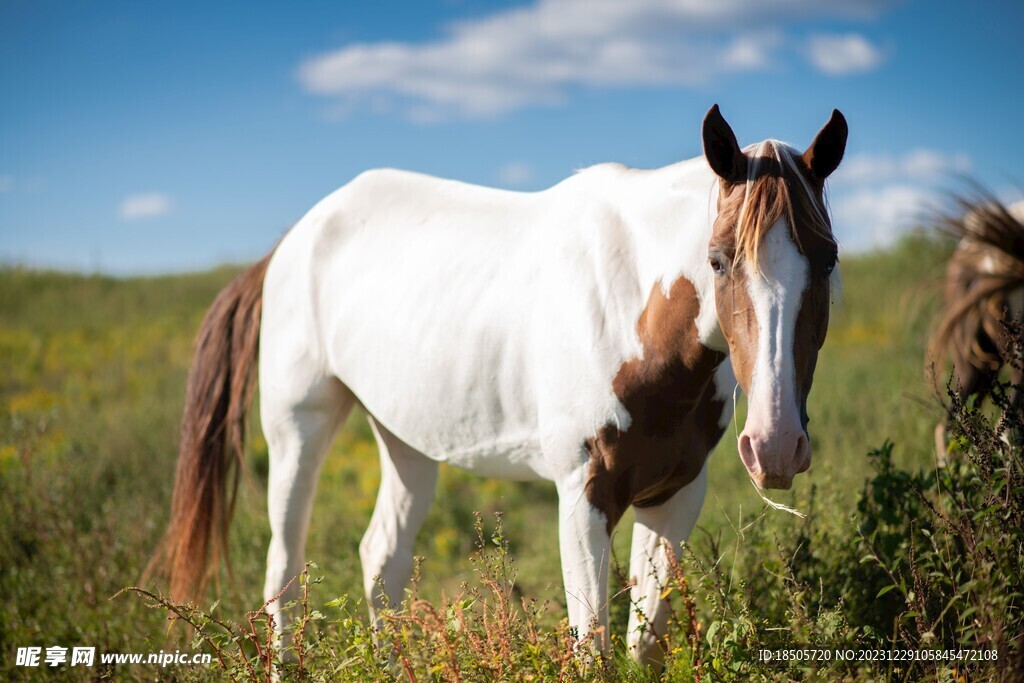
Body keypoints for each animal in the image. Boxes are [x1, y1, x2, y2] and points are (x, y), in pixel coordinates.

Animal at [153, 104, 847, 663]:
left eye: (829, 258)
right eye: (718, 261)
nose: (776, 446)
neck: (634, 312)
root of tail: (289, 243)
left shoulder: (674, 496)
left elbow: (643, 646)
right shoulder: (583, 497)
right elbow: (592, 650)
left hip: (405, 438)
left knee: (381, 563)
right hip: (300, 425)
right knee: (284, 575)